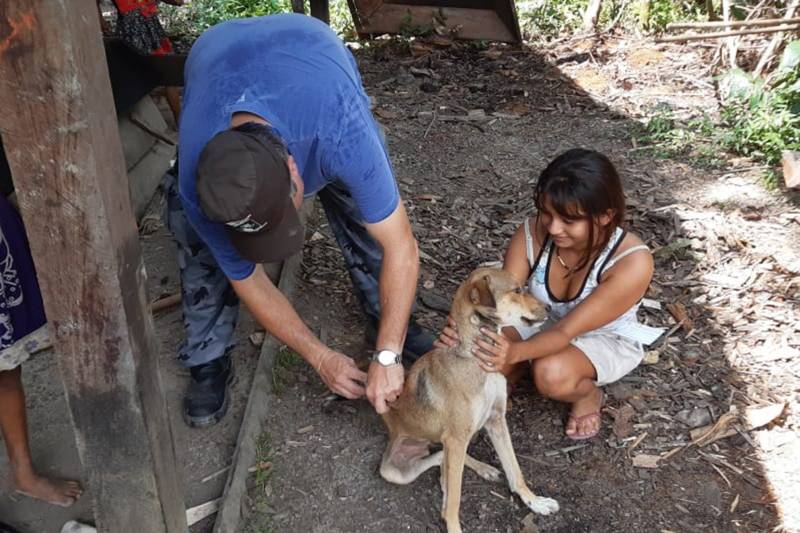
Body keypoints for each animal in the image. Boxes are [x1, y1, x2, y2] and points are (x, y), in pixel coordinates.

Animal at [380, 268, 556, 528]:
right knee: (444, 464)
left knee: (442, 458)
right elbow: (454, 500)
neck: (474, 358)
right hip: (396, 471)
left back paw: (483, 469)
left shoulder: (496, 420)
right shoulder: (457, 438)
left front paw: (535, 502)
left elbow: (515, 470)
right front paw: (452, 525)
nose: (550, 307)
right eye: (516, 290)